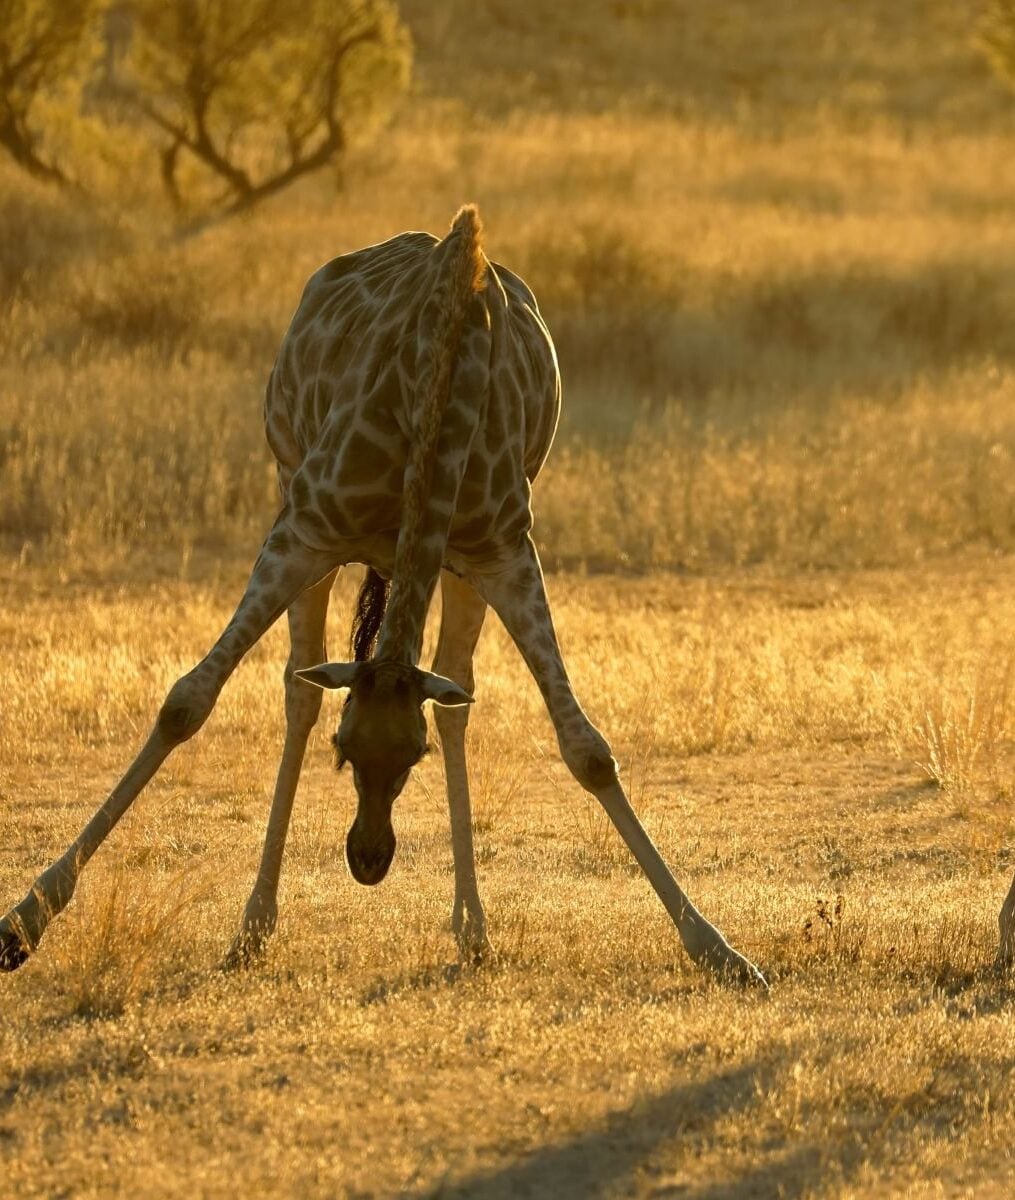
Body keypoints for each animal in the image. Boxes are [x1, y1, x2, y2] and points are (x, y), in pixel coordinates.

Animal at [0, 206, 766, 987]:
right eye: (343, 750)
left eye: (413, 755)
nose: (368, 860)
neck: (442, 378)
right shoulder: (305, 526)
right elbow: (186, 702)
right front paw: (23, 921)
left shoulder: (503, 548)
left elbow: (586, 750)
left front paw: (721, 950)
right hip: (288, 485)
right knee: (298, 687)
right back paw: (251, 929)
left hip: (457, 563)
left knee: (454, 690)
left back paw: (473, 932)